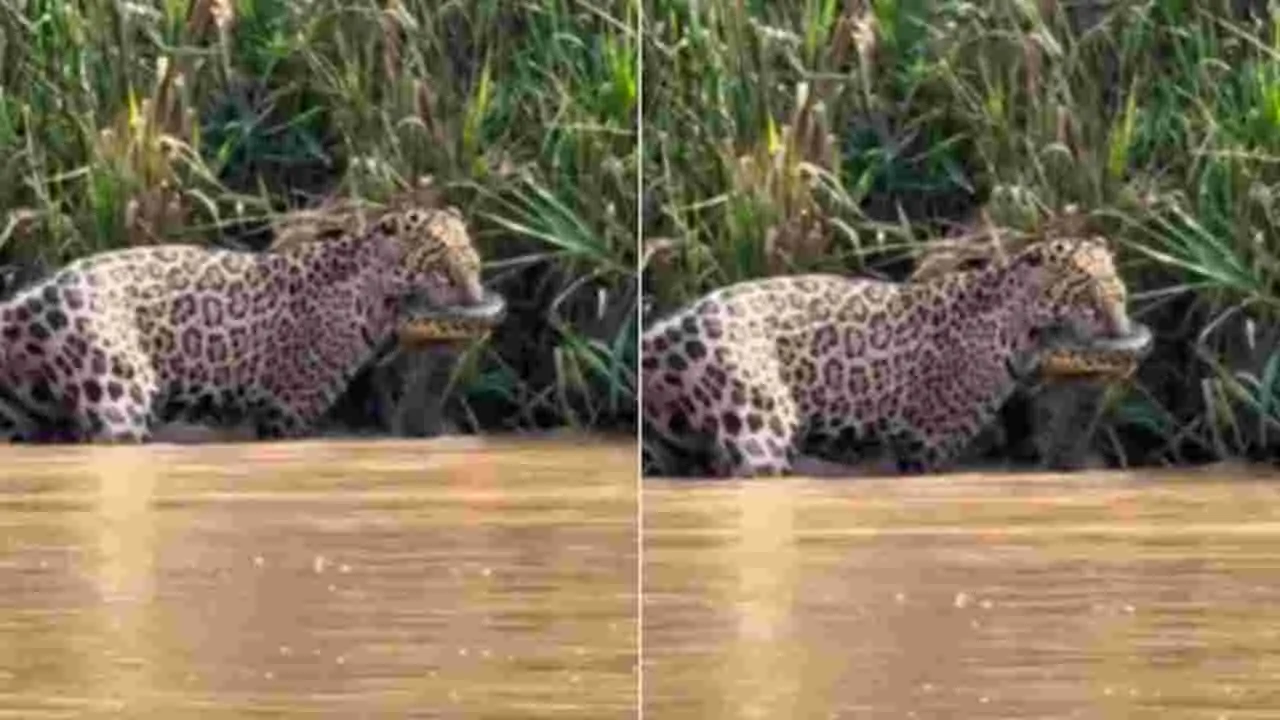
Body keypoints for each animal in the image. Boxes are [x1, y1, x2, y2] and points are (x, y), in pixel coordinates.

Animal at [0, 205, 505, 443]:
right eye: (441, 266)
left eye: (473, 261)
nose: (477, 299)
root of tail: (31, 298)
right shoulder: (289, 406)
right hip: (116, 391)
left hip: (21, 409)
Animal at [641, 236, 1152, 477]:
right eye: (1086, 292)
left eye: (1118, 289)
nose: (1121, 325)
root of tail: (666, 331)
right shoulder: (928, 439)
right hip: (757, 421)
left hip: (669, 438)